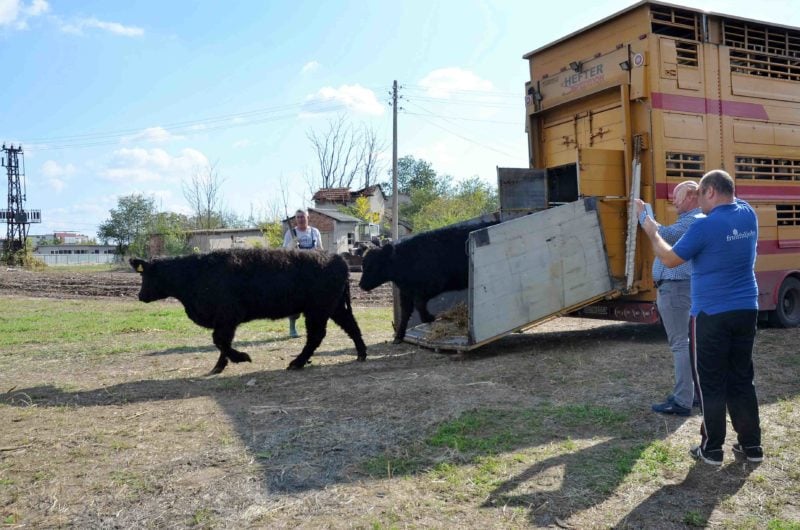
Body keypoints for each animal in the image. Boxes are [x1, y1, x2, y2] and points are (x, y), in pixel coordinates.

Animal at [130, 250, 368, 374]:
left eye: (146, 274)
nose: (140, 296)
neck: (194, 274)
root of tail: (338, 258)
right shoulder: (224, 320)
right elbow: (222, 343)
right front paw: (219, 366)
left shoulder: (228, 316)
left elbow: (220, 341)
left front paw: (241, 358)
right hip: (334, 308)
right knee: (351, 326)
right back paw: (361, 354)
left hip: (318, 310)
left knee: (316, 336)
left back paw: (297, 363)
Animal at [360, 219, 496, 342]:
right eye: (363, 264)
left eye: (372, 266)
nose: (361, 285)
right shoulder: (406, 293)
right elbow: (405, 313)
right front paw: (399, 336)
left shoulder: (432, 285)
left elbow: (419, 303)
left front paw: (429, 318)